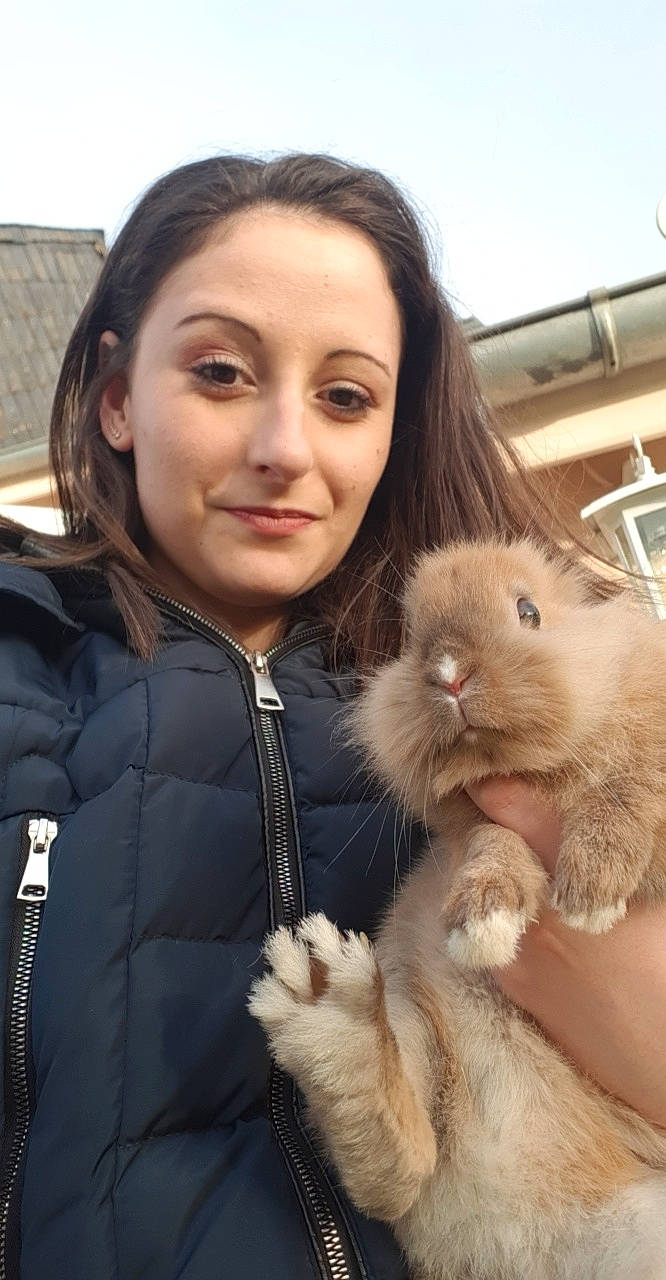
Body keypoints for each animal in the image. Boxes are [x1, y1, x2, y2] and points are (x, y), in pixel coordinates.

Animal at [250, 538, 666, 1280]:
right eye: (412, 636)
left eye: (527, 610)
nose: (448, 675)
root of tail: (524, 1247)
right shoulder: (470, 824)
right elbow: (490, 840)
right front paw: (485, 919)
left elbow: (635, 783)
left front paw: (591, 887)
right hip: (421, 1025)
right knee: (398, 1162)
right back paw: (329, 1007)